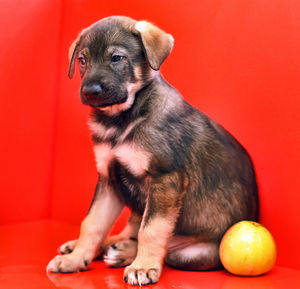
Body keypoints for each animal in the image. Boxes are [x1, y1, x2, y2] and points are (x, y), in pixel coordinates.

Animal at [46, 16, 258, 284]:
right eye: (82, 60)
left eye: (117, 58)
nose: (90, 92)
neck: (122, 119)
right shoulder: (108, 179)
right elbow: (92, 223)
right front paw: (76, 258)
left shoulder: (165, 180)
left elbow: (152, 229)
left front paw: (143, 266)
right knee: (130, 227)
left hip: (192, 253)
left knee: (165, 245)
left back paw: (123, 253)